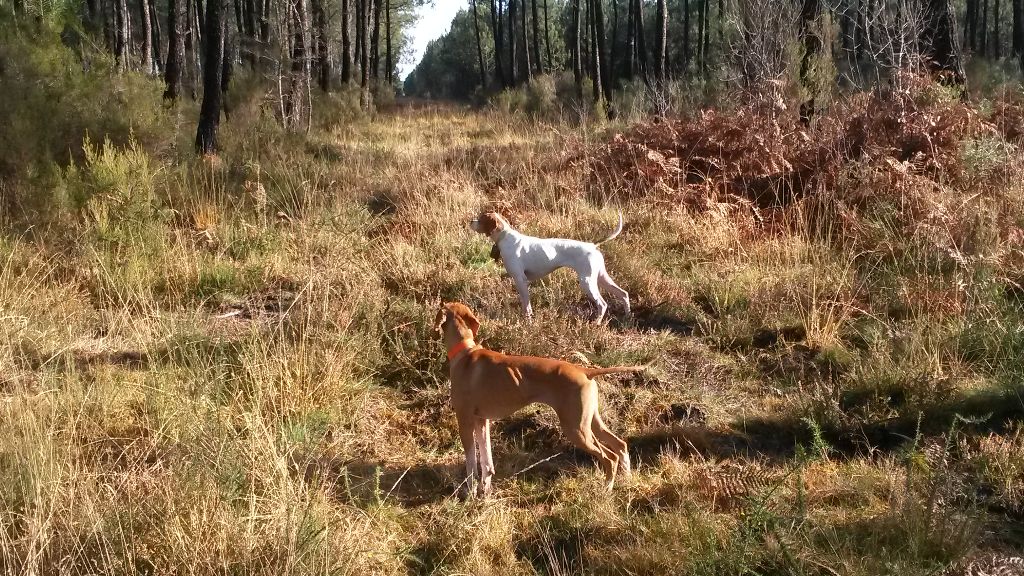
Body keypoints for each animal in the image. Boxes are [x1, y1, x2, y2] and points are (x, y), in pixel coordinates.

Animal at [430, 301, 638, 494]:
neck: (465, 352)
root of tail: (584, 371)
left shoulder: (464, 420)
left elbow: (471, 463)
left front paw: (470, 492)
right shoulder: (482, 420)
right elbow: (487, 461)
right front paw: (486, 490)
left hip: (576, 429)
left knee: (609, 457)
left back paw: (607, 488)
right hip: (590, 422)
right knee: (620, 446)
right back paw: (626, 479)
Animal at [473, 211, 630, 319]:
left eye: (480, 219)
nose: (470, 221)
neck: (505, 236)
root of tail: (592, 245)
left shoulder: (520, 280)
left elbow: (527, 305)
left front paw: (527, 321)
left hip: (587, 282)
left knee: (602, 304)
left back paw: (595, 325)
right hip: (601, 278)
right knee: (623, 294)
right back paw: (627, 317)